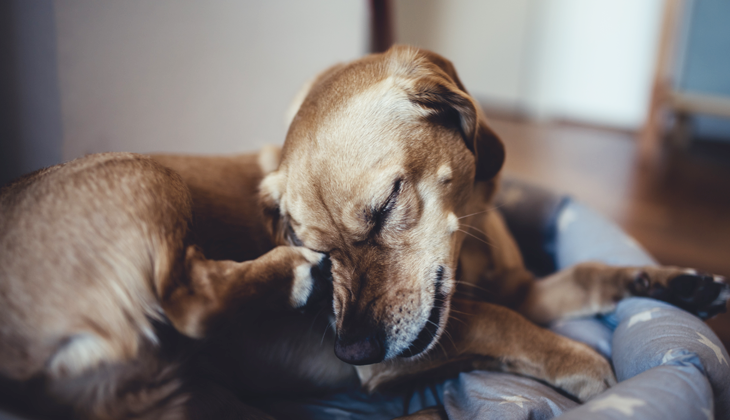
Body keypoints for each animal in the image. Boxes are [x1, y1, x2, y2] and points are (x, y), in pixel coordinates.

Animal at [0, 46, 724, 420]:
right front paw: (584, 365)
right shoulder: (420, 348)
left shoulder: (524, 286)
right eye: (315, 242)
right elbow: (502, 323)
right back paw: (282, 279)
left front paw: (673, 283)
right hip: (147, 176)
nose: (350, 348)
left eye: (384, 207)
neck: (471, 250)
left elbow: (585, 275)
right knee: (185, 300)